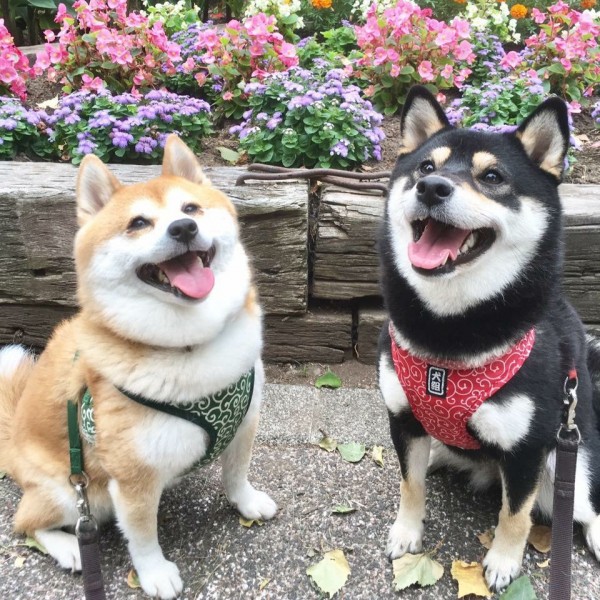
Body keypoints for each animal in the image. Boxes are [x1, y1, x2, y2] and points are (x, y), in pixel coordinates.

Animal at [0, 137, 278, 600]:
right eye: (138, 223)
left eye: (190, 209)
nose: (183, 229)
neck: (188, 345)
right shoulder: (132, 478)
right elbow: (144, 534)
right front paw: (155, 573)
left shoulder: (245, 421)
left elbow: (236, 473)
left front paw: (246, 501)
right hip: (73, 492)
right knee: (26, 523)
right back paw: (69, 548)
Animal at [378, 84, 600, 592]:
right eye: (426, 167)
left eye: (493, 176)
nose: (431, 188)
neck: (449, 330)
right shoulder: (403, 419)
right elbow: (409, 484)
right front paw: (407, 531)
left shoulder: (527, 449)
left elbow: (515, 515)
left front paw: (502, 562)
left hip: (570, 460)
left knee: (585, 506)